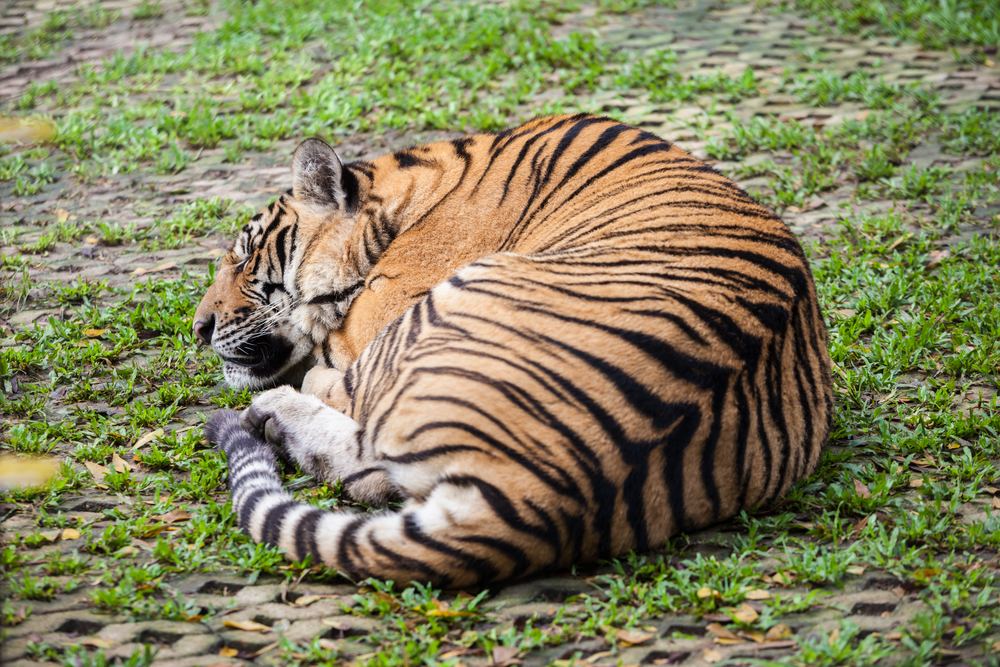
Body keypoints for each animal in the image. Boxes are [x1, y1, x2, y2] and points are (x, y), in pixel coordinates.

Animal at [197, 114, 833, 588]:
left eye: (247, 257)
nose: (200, 328)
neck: (405, 197)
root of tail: (542, 495)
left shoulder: (373, 321)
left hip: (452, 301)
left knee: (354, 429)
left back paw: (271, 414)